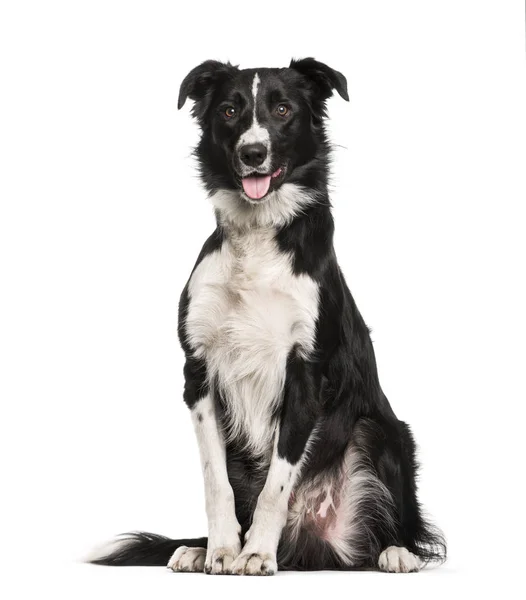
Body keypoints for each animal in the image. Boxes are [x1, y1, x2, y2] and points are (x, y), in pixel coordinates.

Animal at [87, 58, 450, 576]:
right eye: (229, 110)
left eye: (282, 109)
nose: (253, 152)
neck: (258, 237)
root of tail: (309, 545)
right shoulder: (198, 372)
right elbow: (214, 481)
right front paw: (221, 549)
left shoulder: (303, 371)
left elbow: (277, 484)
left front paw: (256, 551)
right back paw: (198, 549)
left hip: (385, 432)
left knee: (389, 522)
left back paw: (395, 551)